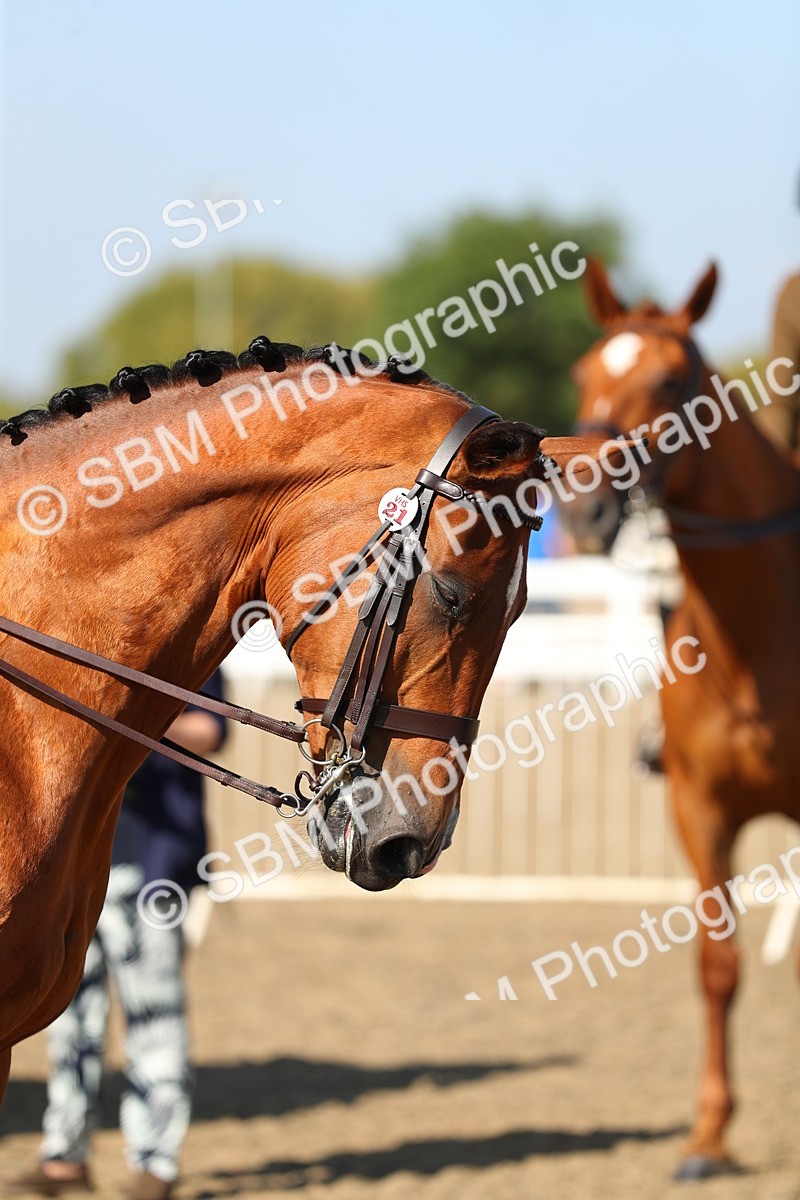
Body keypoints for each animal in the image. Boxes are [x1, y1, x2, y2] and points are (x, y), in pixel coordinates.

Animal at [565, 260, 800, 1177]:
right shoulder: (698, 810)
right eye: (582, 376)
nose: (584, 513)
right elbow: (717, 966)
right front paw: (708, 1135)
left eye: (671, 380)